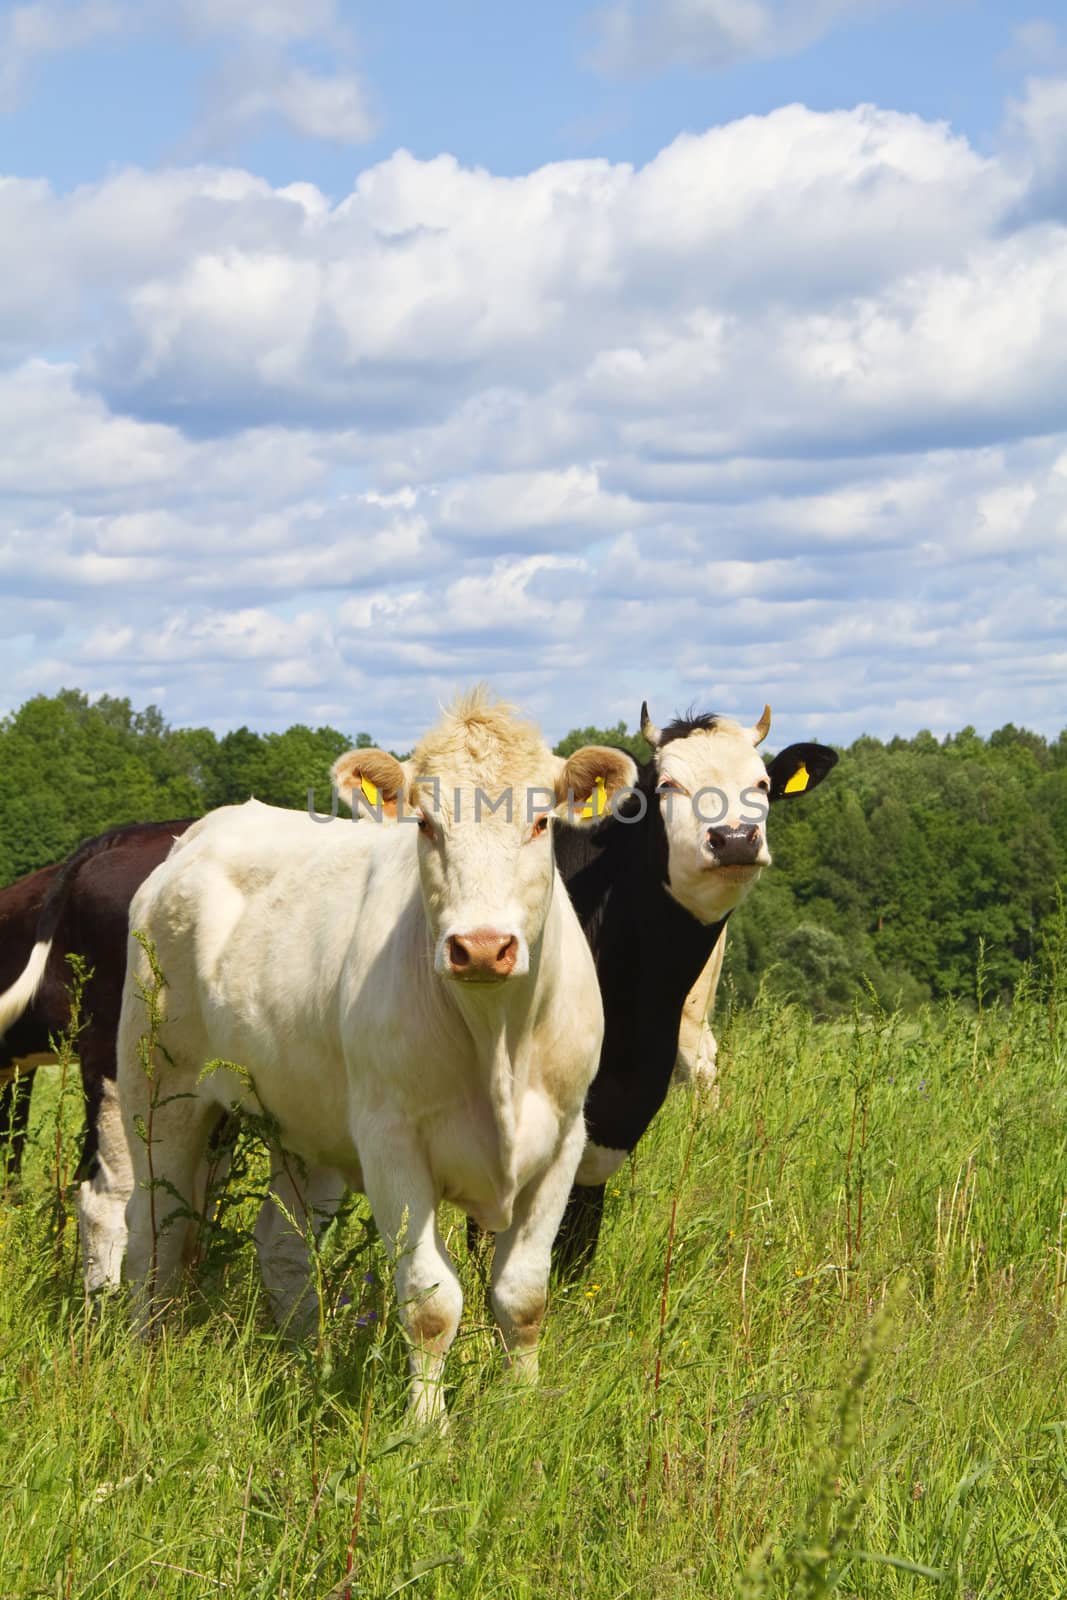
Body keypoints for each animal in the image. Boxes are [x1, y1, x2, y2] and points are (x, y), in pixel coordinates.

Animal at [119, 694, 633, 1420]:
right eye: (426, 823)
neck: (498, 1040)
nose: (481, 947)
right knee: (152, 1233)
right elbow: (431, 1302)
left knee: (281, 1246)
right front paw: (426, 1428)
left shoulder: (563, 1137)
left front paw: (524, 1406)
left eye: (540, 822)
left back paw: (309, 1365)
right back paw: (144, 1360)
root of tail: (200, 834)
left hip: (297, 1120)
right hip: (159, 1090)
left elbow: (523, 1294)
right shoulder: (392, 1143)